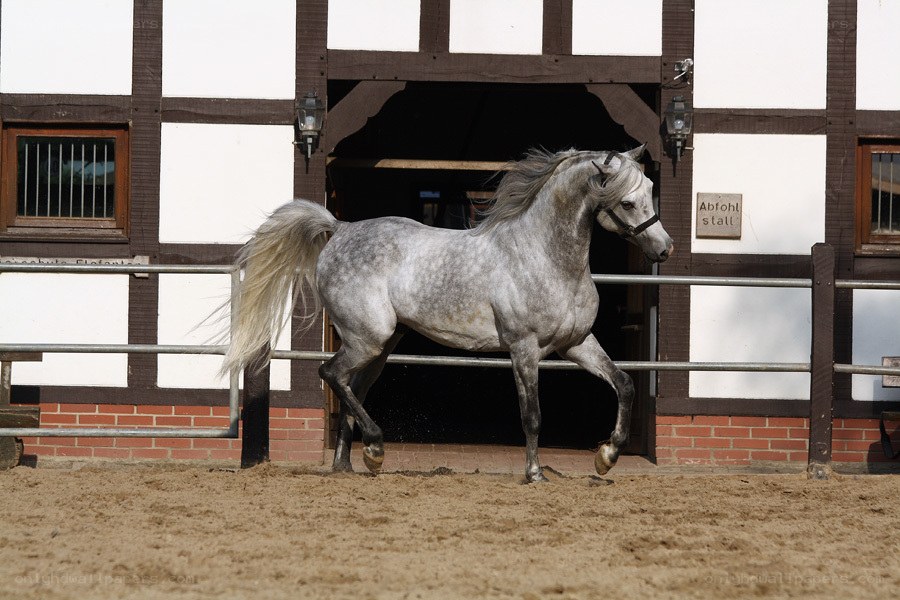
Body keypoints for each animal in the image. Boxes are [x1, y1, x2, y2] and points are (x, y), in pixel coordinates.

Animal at [223, 146, 673, 482]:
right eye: (627, 201)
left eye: (652, 188)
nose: (664, 248)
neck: (545, 256)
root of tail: (341, 229)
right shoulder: (524, 349)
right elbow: (532, 415)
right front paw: (534, 474)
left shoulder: (575, 344)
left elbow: (624, 384)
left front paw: (607, 456)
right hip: (367, 338)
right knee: (331, 374)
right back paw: (375, 446)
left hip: (382, 345)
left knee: (353, 387)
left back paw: (352, 463)